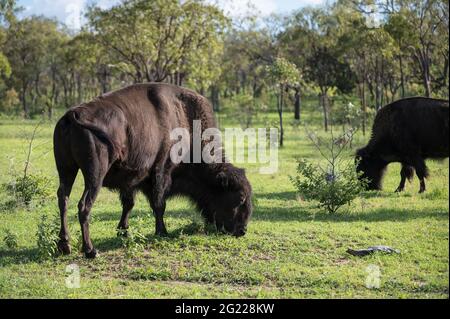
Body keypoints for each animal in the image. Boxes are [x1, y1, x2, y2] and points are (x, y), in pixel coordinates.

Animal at [52, 84, 253, 258]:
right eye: (240, 198)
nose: (242, 230)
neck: (185, 120)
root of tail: (73, 114)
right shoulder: (162, 171)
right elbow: (159, 204)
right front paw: (162, 231)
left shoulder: (131, 179)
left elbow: (128, 204)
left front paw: (123, 231)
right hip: (95, 176)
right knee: (84, 205)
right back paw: (90, 250)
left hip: (66, 170)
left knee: (63, 198)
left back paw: (65, 245)